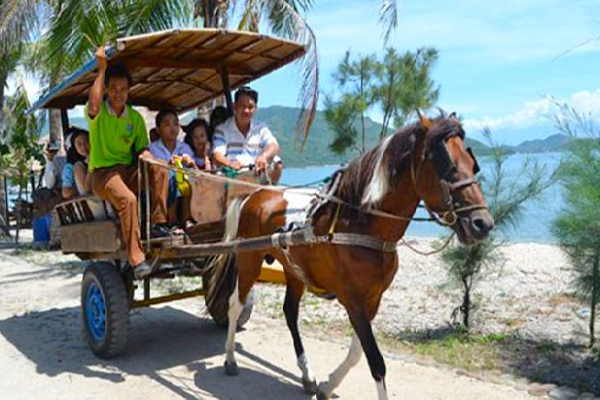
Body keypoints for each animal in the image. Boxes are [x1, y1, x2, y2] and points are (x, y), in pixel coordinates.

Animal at [204, 112, 494, 400]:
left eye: (473, 164)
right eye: (447, 165)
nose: (483, 223)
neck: (361, 223)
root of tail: (254, 193)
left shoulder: (373, 298)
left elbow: (357, 353)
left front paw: (327, 385)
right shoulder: (352, 299)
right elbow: (376, 361)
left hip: (293, 269)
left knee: (290, 312)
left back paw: (307, 374)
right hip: (249, 260)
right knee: (235, 304)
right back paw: (230, 358)